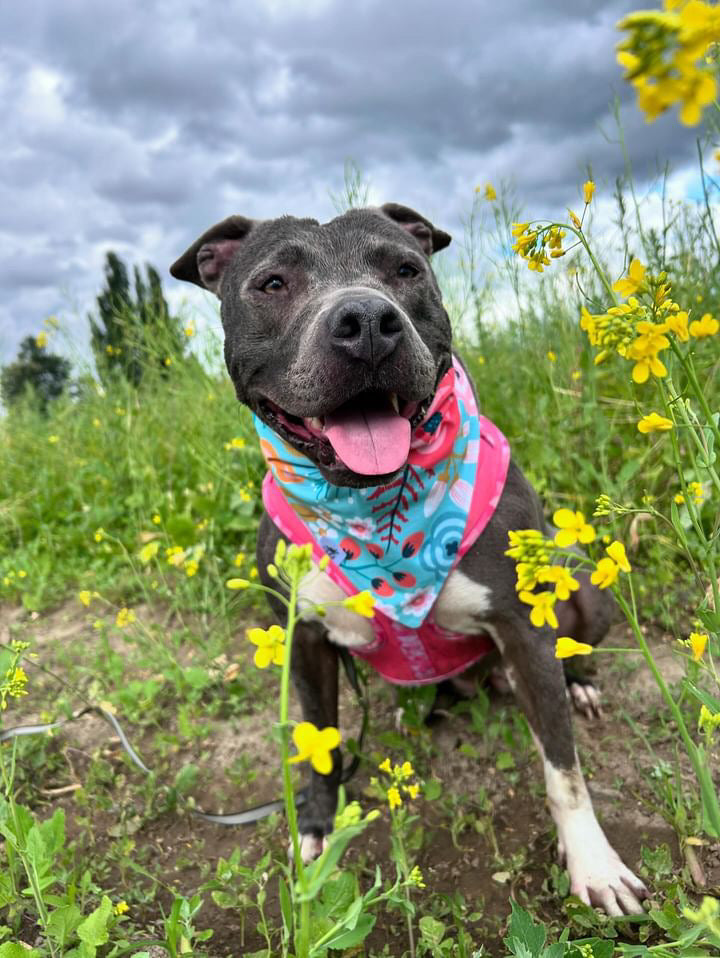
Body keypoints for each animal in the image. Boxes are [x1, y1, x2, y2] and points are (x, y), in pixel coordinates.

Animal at [172, 202, 648, 916]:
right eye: (273, 283)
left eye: (405, 270)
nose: (367, 321)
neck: (375, 513)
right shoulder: (304, 637)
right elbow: (321, 743)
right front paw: (318, 825)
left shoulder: (522, 628)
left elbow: (564, 771)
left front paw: (594, 864)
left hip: (585, 585)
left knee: (574, 649)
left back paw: (581, 682)